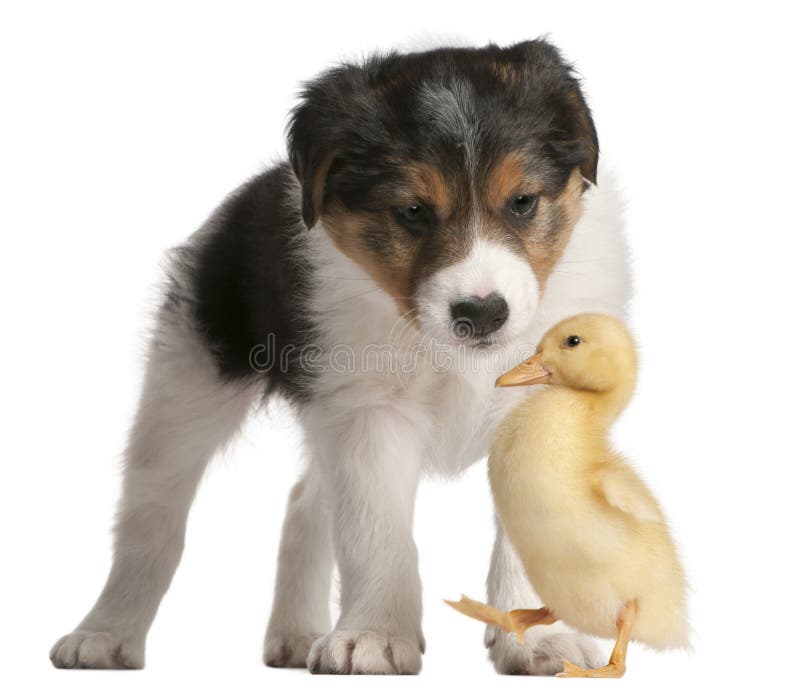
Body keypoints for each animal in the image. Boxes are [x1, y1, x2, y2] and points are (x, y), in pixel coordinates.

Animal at [53, 37, 632, 672]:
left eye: (523, 201)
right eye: (412, 211)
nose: (480, 314)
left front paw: (537, 642)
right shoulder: (368, 412)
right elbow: (376, 536)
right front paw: (374, 637)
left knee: (305, 503)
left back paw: (294, 634)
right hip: (187, 375)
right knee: (151, 515)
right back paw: (104, 634)